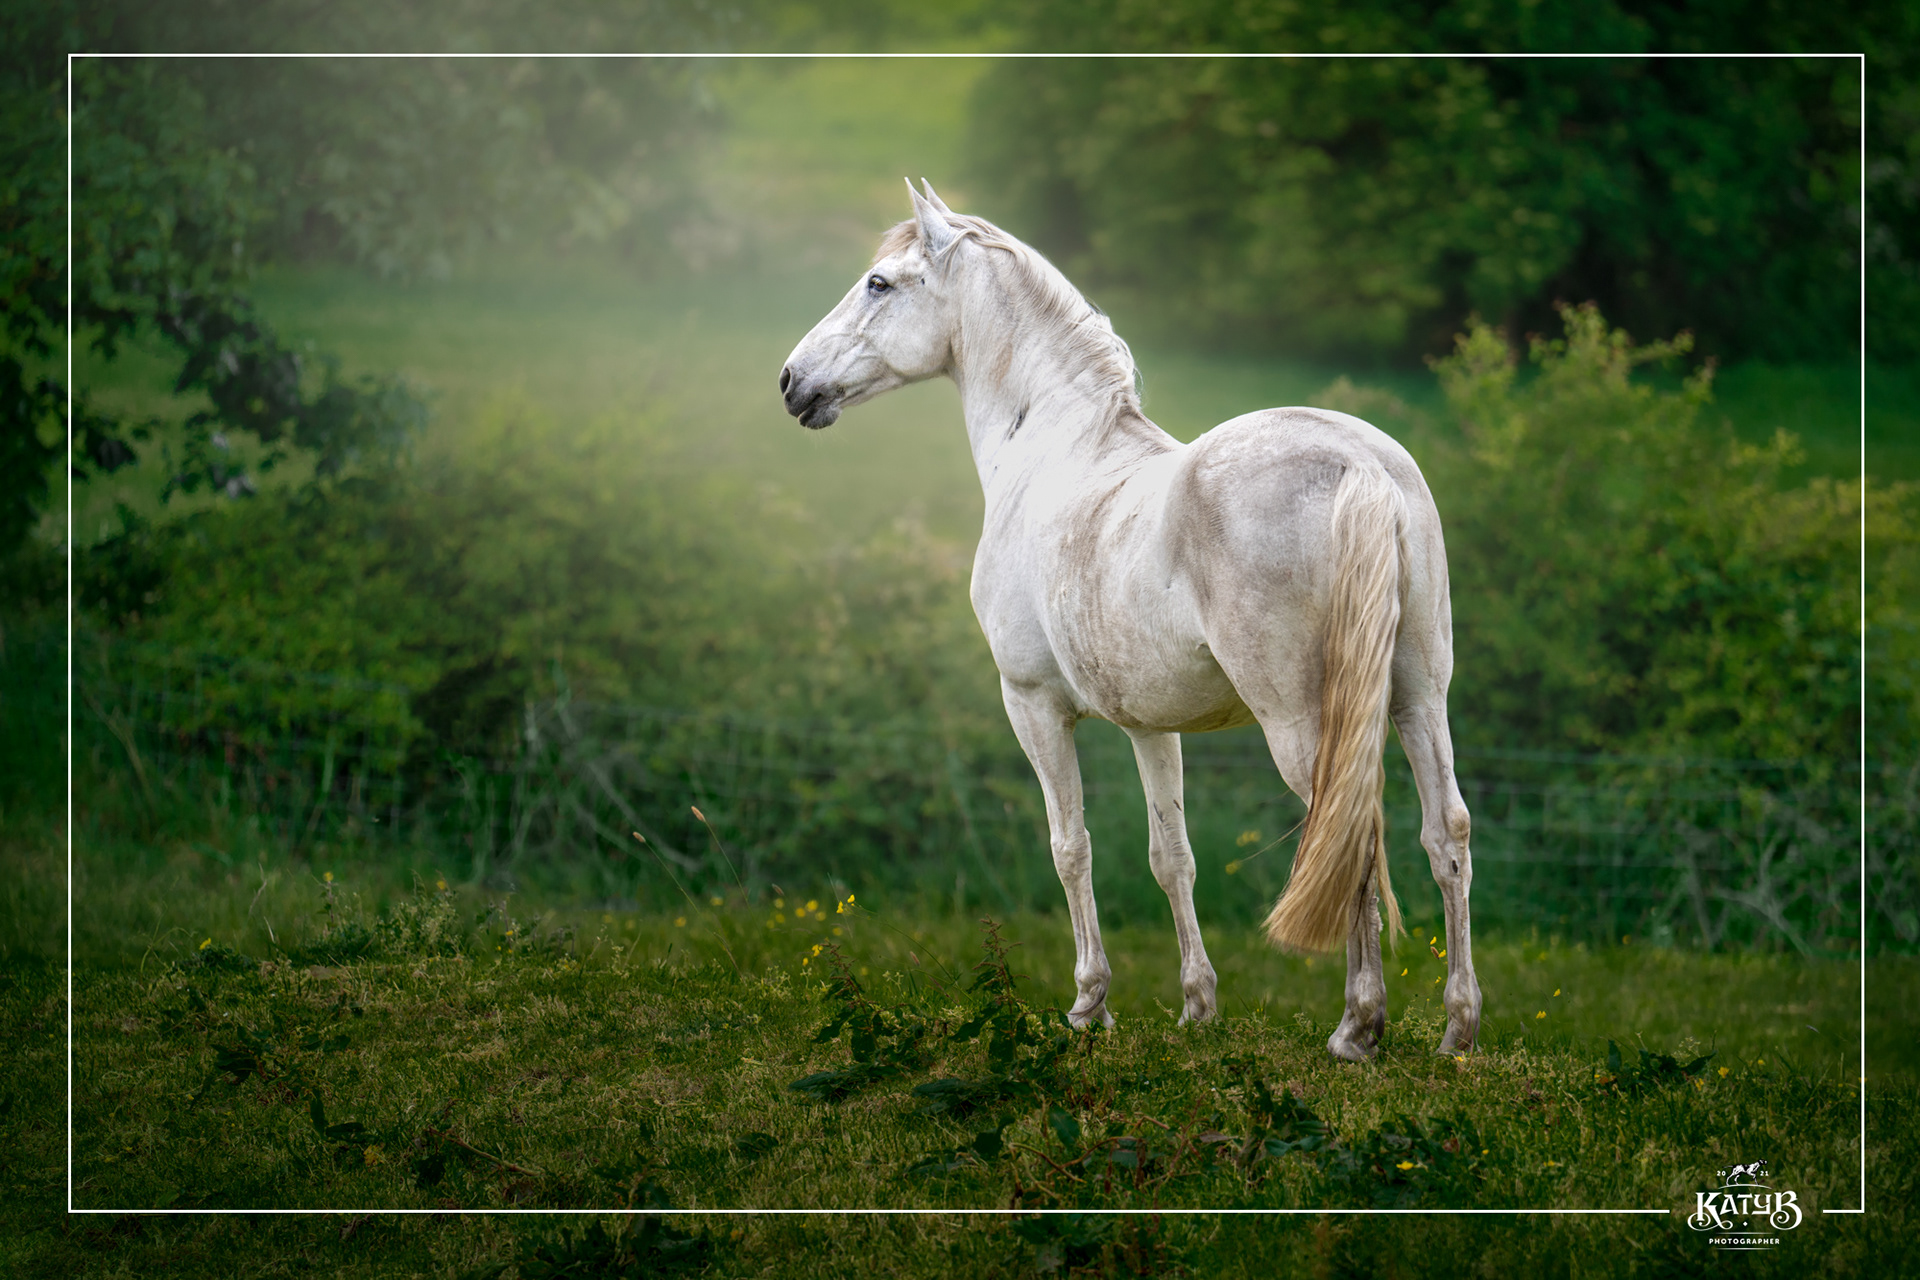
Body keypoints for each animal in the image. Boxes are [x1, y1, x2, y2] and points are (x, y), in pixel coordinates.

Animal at [779, 182, 1482, 1059]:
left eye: (879, 283)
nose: (792, 380)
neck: (1051, 452)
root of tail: (1362, 467)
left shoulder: (1032, 704)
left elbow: (1070, 848)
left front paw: (1089, 1005)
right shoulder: (1153, 727)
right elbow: (1170, 856)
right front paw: (1197, 1007)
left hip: (1302, 720)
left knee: (1351, 829)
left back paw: (1358, 1028)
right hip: (1419, 697)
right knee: (1446, 832)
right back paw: (1458, 1028)